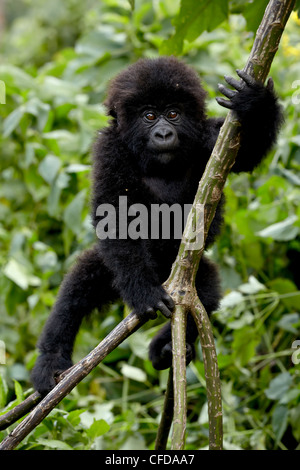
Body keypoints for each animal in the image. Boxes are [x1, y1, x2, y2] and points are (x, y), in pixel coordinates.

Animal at [31, 55, 282, 394]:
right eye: (149, 116)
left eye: (173, 113)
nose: (163, 134)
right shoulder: (109, 149)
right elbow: (114, 214)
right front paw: (143, 291)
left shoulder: (212, 137)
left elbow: (247, 154)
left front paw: (255, 102)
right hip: (116, 272)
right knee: (79, 286)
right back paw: (50, 360)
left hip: (185, 278)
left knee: (205, 293)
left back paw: (165, 347)